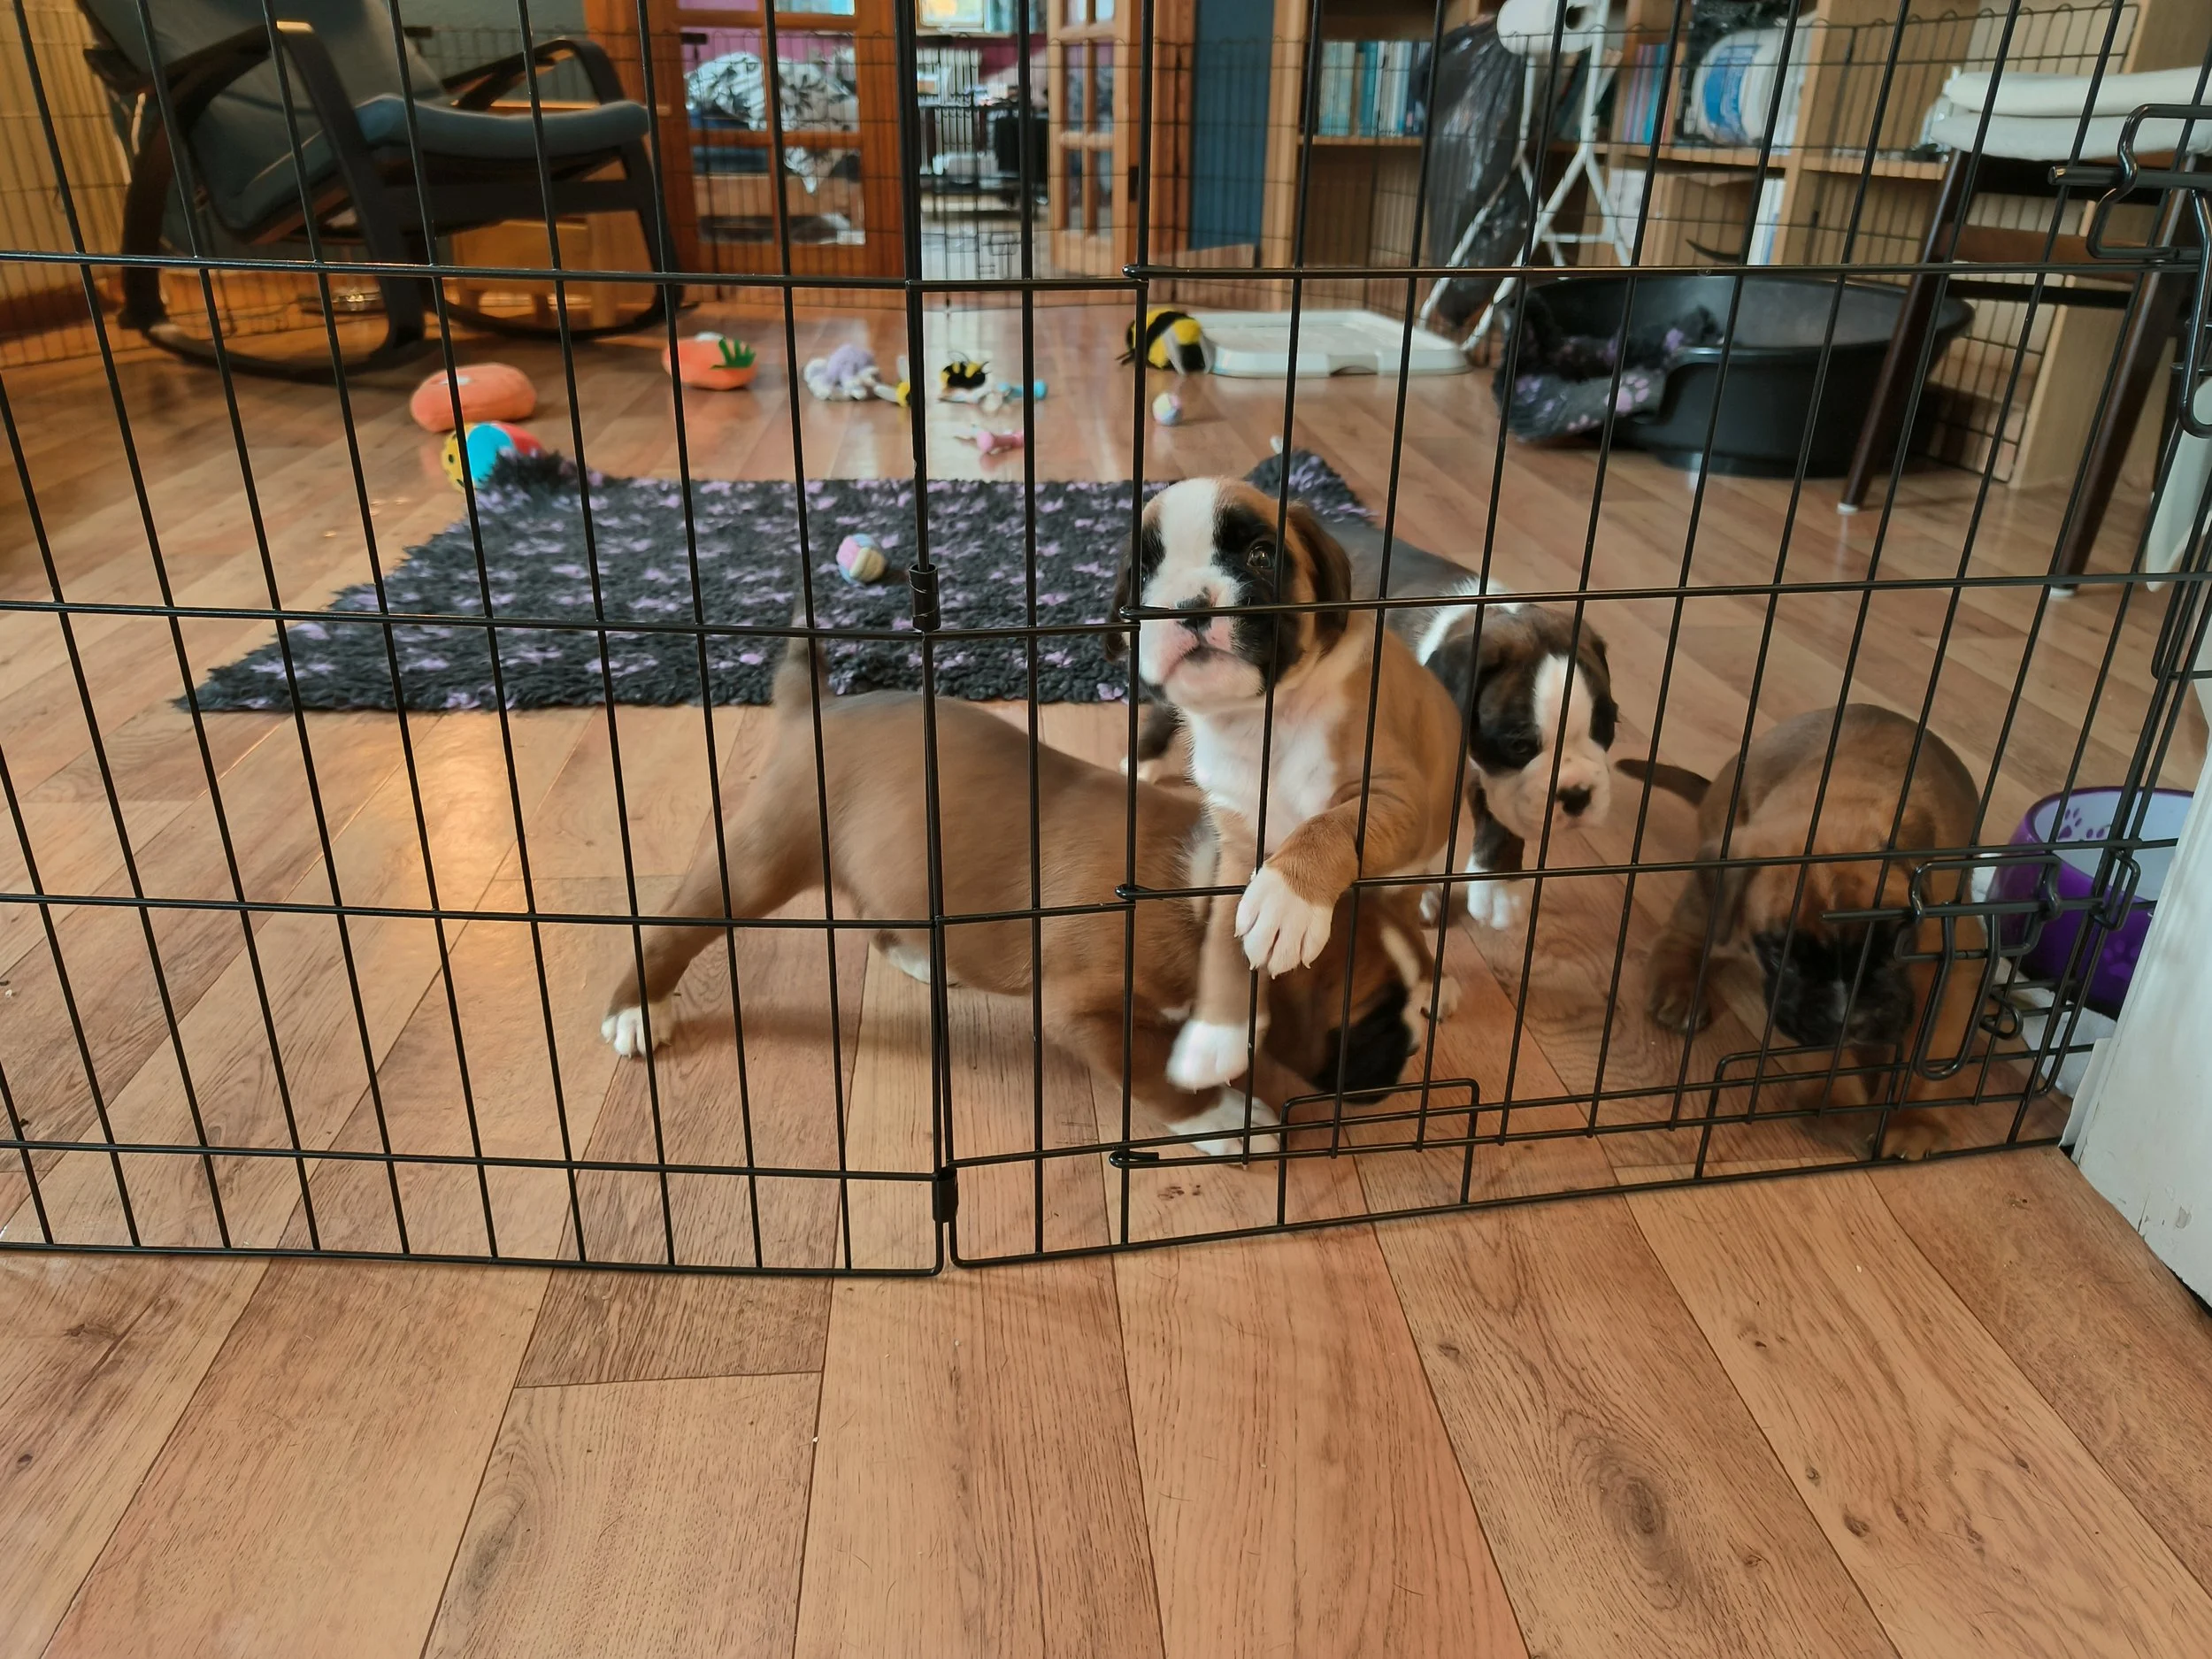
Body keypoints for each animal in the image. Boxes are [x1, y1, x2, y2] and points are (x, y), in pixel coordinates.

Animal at [599, 630, 1435, 1157]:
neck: (1200, 888)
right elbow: (1154, 1070)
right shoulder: (1083, 1012)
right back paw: (637, 1008)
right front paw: (1227, 1115)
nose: (1410, 1060)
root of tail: (818, 707)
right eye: (1368, 1018)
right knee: (674, 925)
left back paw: (927, 958)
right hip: (763, 855)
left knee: (881, 917)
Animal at [1109, 478, 1467, 1092]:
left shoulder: (1393, 796)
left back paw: (1433, 979)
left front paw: (1288, 899)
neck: (1261, 720)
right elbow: (1223, 944)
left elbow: (1330, 825)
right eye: (1147, 569)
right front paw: (1218, 1035)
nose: (1190, 604)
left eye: (1259, 555)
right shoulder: (1235, 849)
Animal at [1628, 703, 1990, 1159]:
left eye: (1895, 946)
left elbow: (1931, 1055)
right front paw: (1836, 1102)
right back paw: (1677, 988)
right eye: (1778, 956)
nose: (1848, 1016)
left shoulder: (1956, 972)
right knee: (1682, 934)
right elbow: (1813, 1047)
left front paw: (1913, 1122)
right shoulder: (1784, 993)